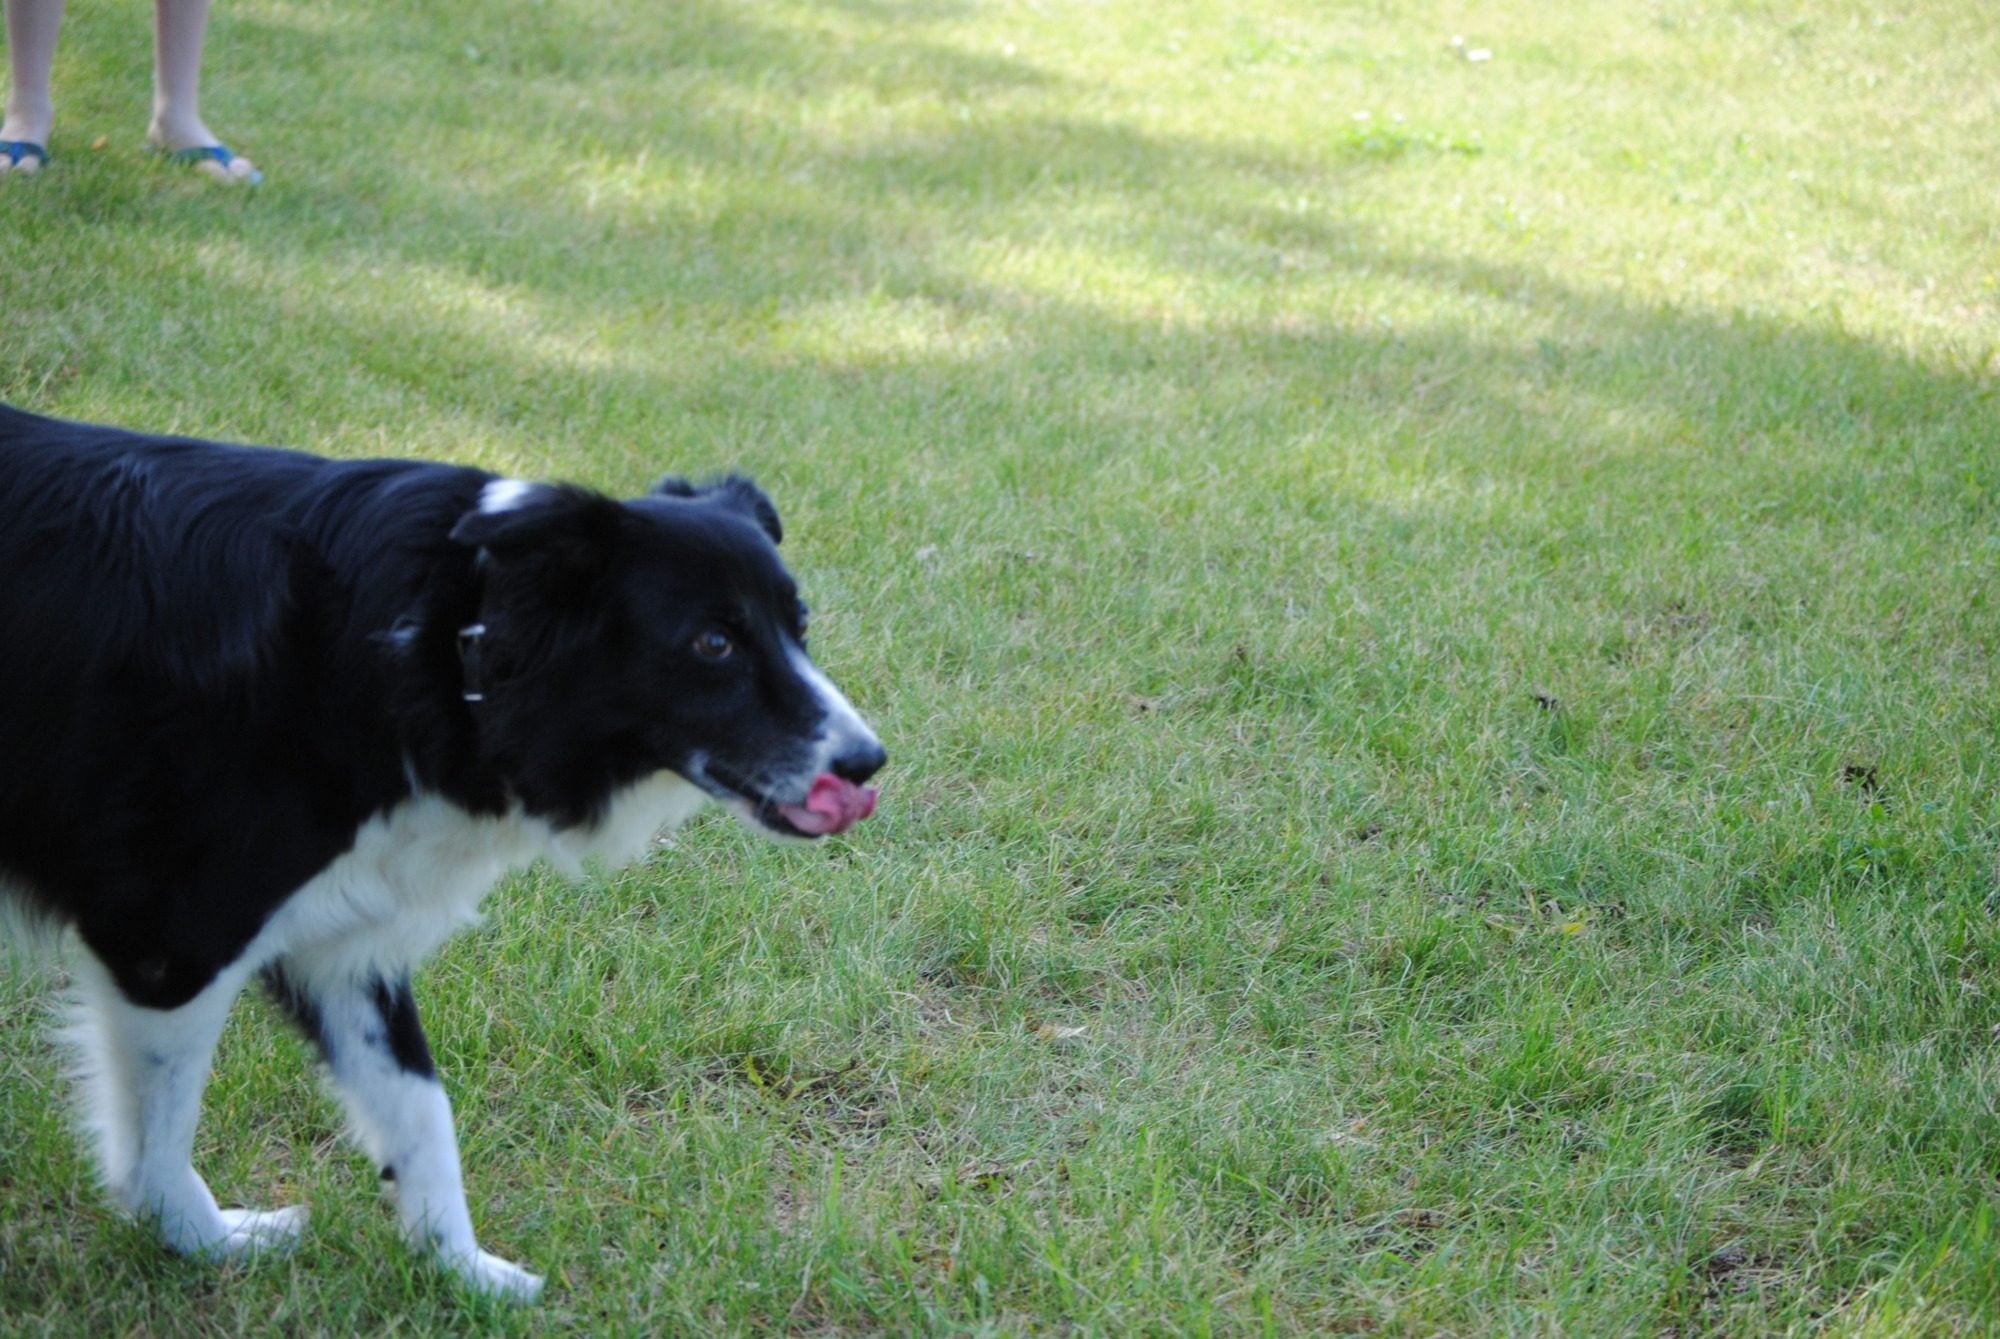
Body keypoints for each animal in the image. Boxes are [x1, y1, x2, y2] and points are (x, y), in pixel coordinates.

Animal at [0, 402, 884, 1300]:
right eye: (714, 643)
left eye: (799, 627)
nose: (867, 762)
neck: (448, 640)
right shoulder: (173, 938)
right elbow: (163, 1127)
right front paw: (196, 1238)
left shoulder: (348, 937)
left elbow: (421, 1109)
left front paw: (465, 1273)